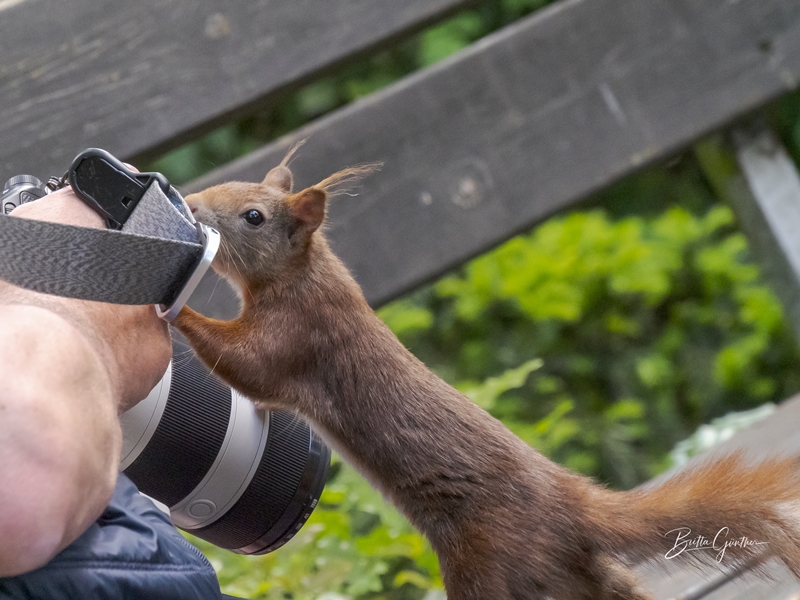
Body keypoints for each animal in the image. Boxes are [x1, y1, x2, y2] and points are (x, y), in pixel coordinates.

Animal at [172, 148, 800, 596]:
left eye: (253, 216)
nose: (192, 202)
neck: (306, 275)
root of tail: (572, 508)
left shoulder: (300, 336)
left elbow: (249, 367)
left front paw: (175, 308)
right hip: (572, 572)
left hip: (489, 563)